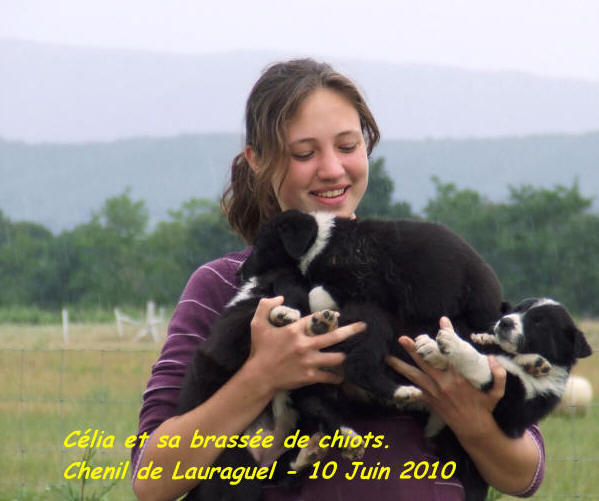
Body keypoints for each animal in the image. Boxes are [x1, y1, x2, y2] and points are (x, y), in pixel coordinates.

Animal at [412, 296, 592, 500]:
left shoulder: (511, 406)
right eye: (517, 309)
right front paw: (432, 348)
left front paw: (453, 342)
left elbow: (480, 361)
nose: (505, 321)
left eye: (539, 323)